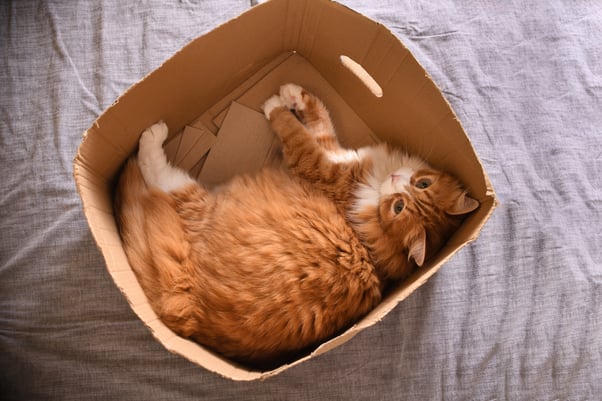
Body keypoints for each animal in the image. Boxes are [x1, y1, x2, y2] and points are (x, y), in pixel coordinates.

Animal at [113, 83, 478, 368]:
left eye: (400, 206)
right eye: (421, 186)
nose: (397, 180)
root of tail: (192, 314)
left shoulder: (314, 165)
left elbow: (292, 128)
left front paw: (274, 105)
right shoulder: (334, 152)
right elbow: (317, 117)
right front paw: (290, 94)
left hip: (202, 202)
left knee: (159, 176)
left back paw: (152, 137)